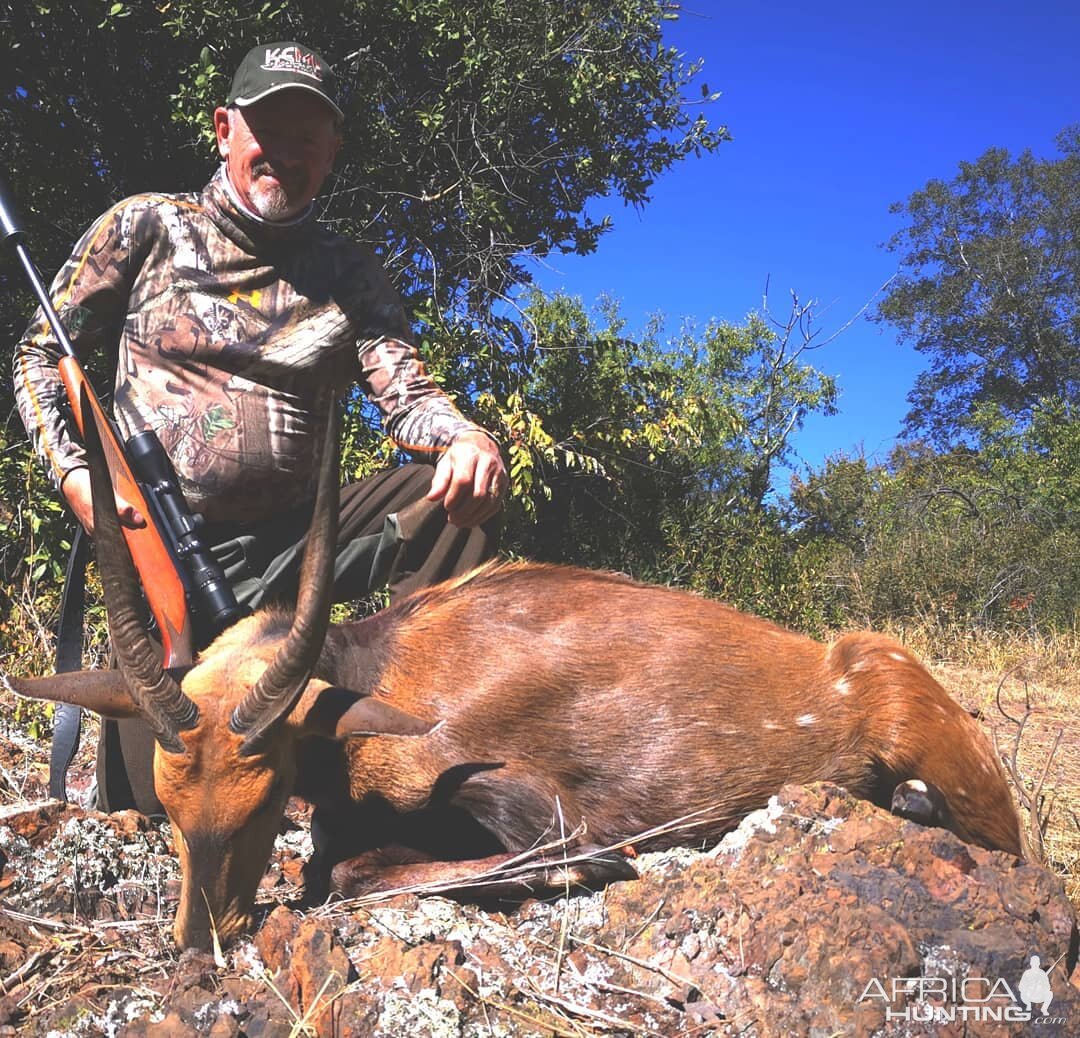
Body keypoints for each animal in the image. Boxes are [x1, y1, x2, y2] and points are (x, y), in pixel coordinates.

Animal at [8, 410, 1019, 946]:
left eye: (260, 802)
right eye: (172, 810)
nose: (202, 941)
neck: (384, 672)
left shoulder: (532, 802)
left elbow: (356, 872)